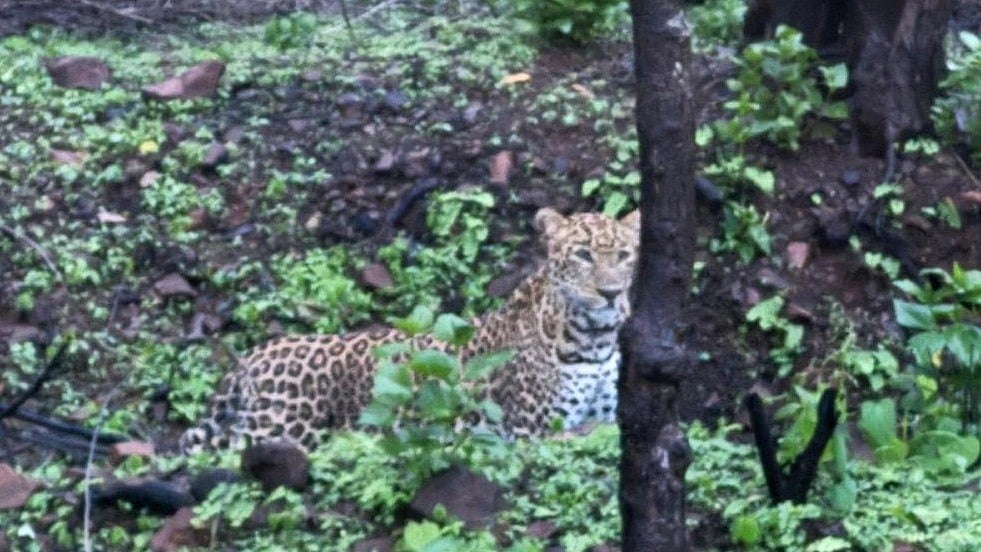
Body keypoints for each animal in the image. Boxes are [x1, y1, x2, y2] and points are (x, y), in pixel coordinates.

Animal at [179, 207, 640, 453]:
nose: (611, 293)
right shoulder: (533, 431)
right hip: (280, 431)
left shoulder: (606, 415)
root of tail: (252, 357)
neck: (593, 341)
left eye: (624, 255)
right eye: (582, 255)